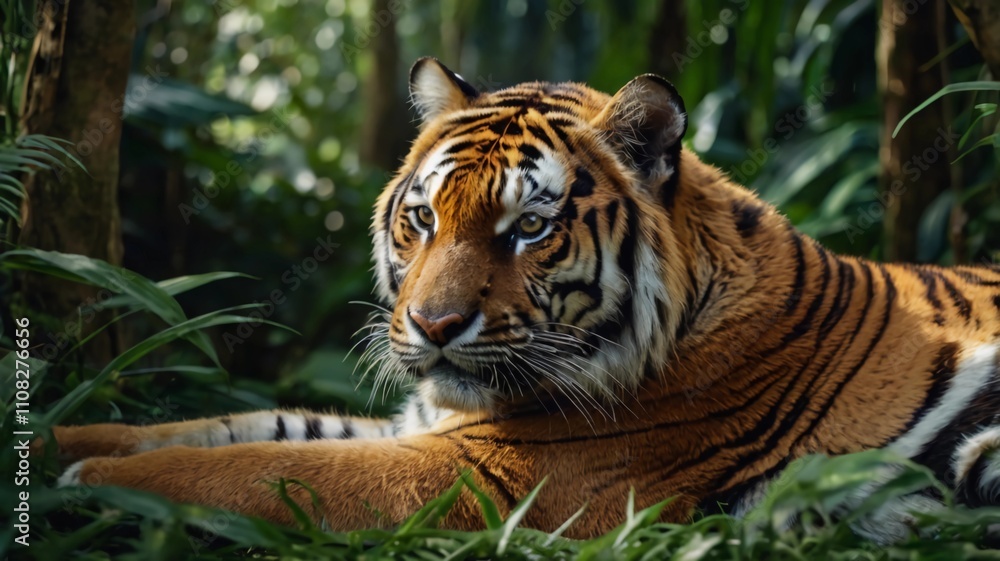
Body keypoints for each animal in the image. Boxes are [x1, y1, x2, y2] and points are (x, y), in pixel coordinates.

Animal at [52, 57, 1000, 542]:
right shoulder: (424, 424)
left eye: (530, 227)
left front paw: (92, 486)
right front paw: (46, 440)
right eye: (424, 218)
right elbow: (220, 428)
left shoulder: (497, 478)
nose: (433, 326)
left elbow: (252, 467)